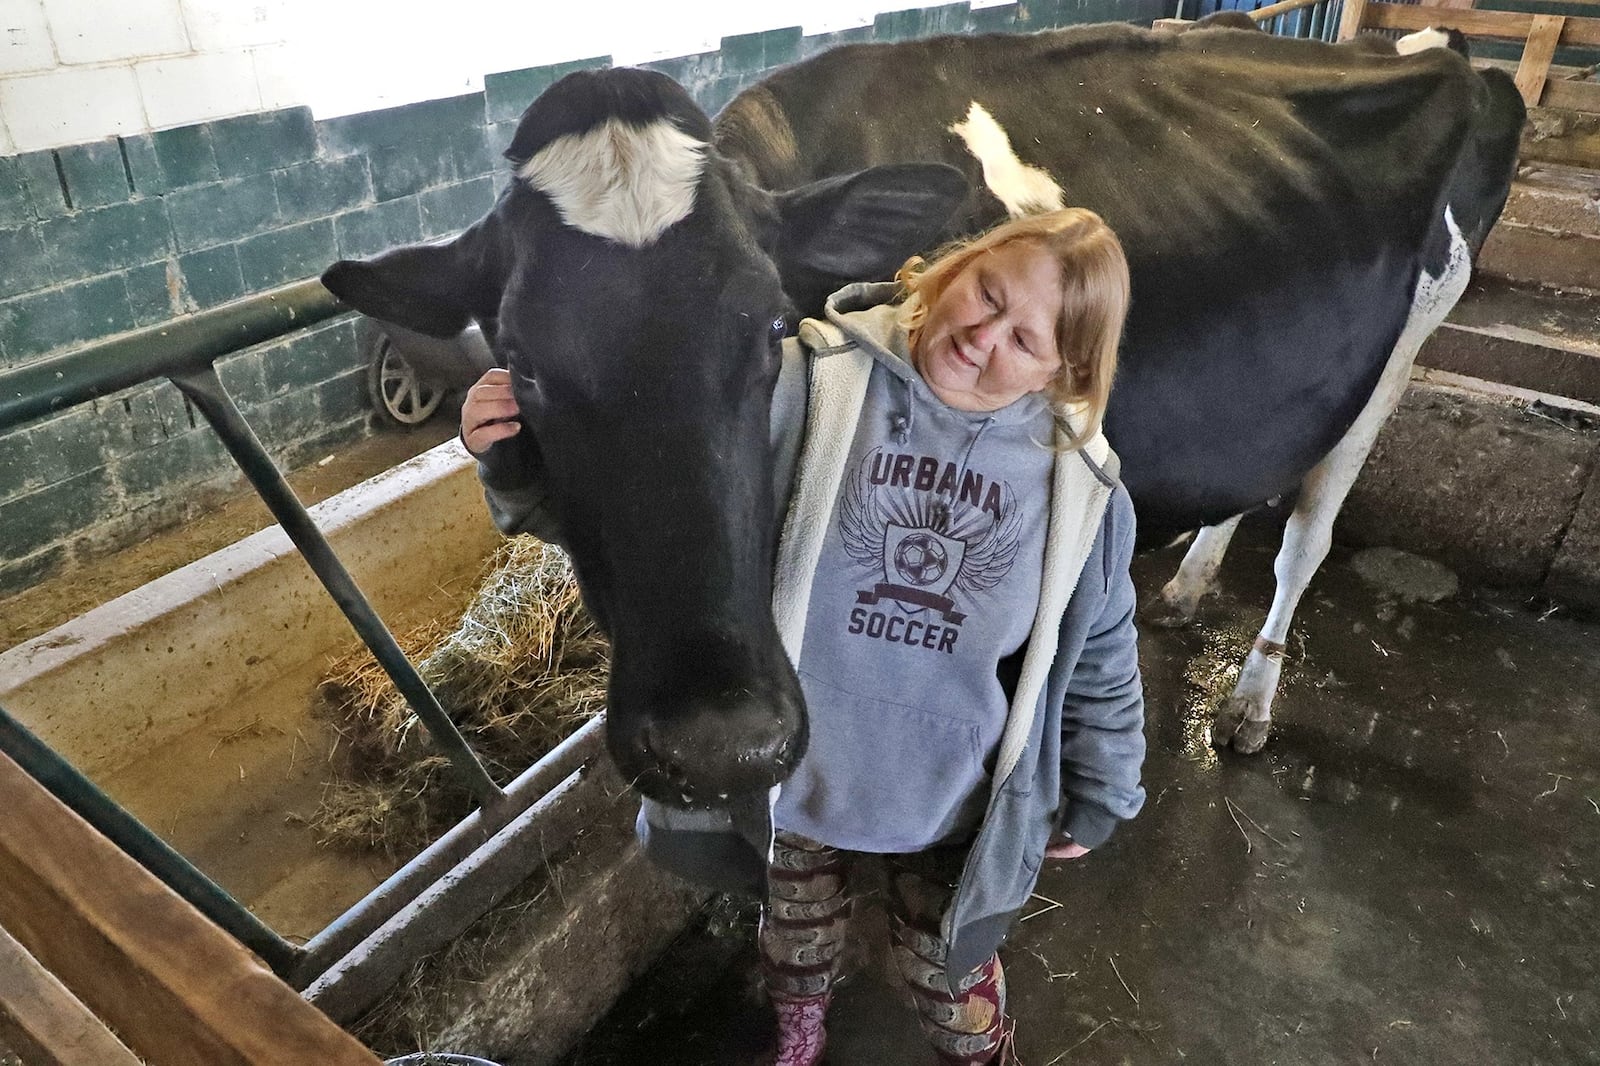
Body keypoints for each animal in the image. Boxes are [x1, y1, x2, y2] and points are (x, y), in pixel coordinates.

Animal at [315, 18, 1523, 806]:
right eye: (518, 359)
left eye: (768, 327)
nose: (714, 749)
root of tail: (1434, 49)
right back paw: (1184, 588)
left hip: (1406, 345)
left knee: (1309, 531)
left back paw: (1254, 702)